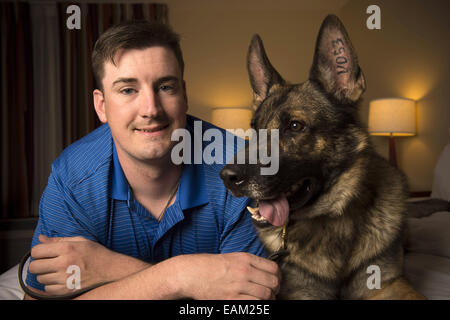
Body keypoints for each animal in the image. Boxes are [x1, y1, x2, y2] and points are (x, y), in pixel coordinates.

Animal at [220, 15, 424, 300]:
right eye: (254, 127)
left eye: (295, 126)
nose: (227, 177)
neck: (332, 216)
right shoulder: (304, 292)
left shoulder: (391, 283)